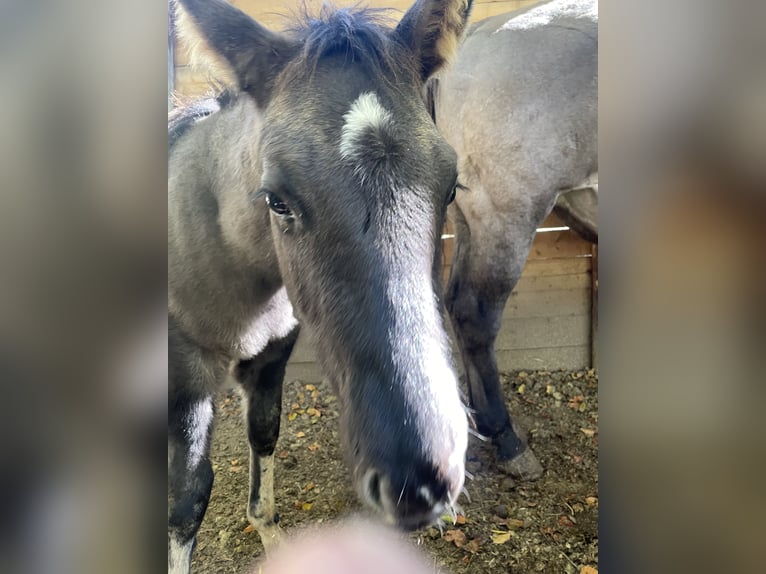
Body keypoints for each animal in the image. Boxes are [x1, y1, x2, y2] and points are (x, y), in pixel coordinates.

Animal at [168, 1, 475, 572]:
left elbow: (264, 434)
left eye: (450, 185)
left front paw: (269, 534)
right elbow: (188, 496)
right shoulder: (184, 376)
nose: (418, 481)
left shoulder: (271, 356)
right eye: (276, 199)